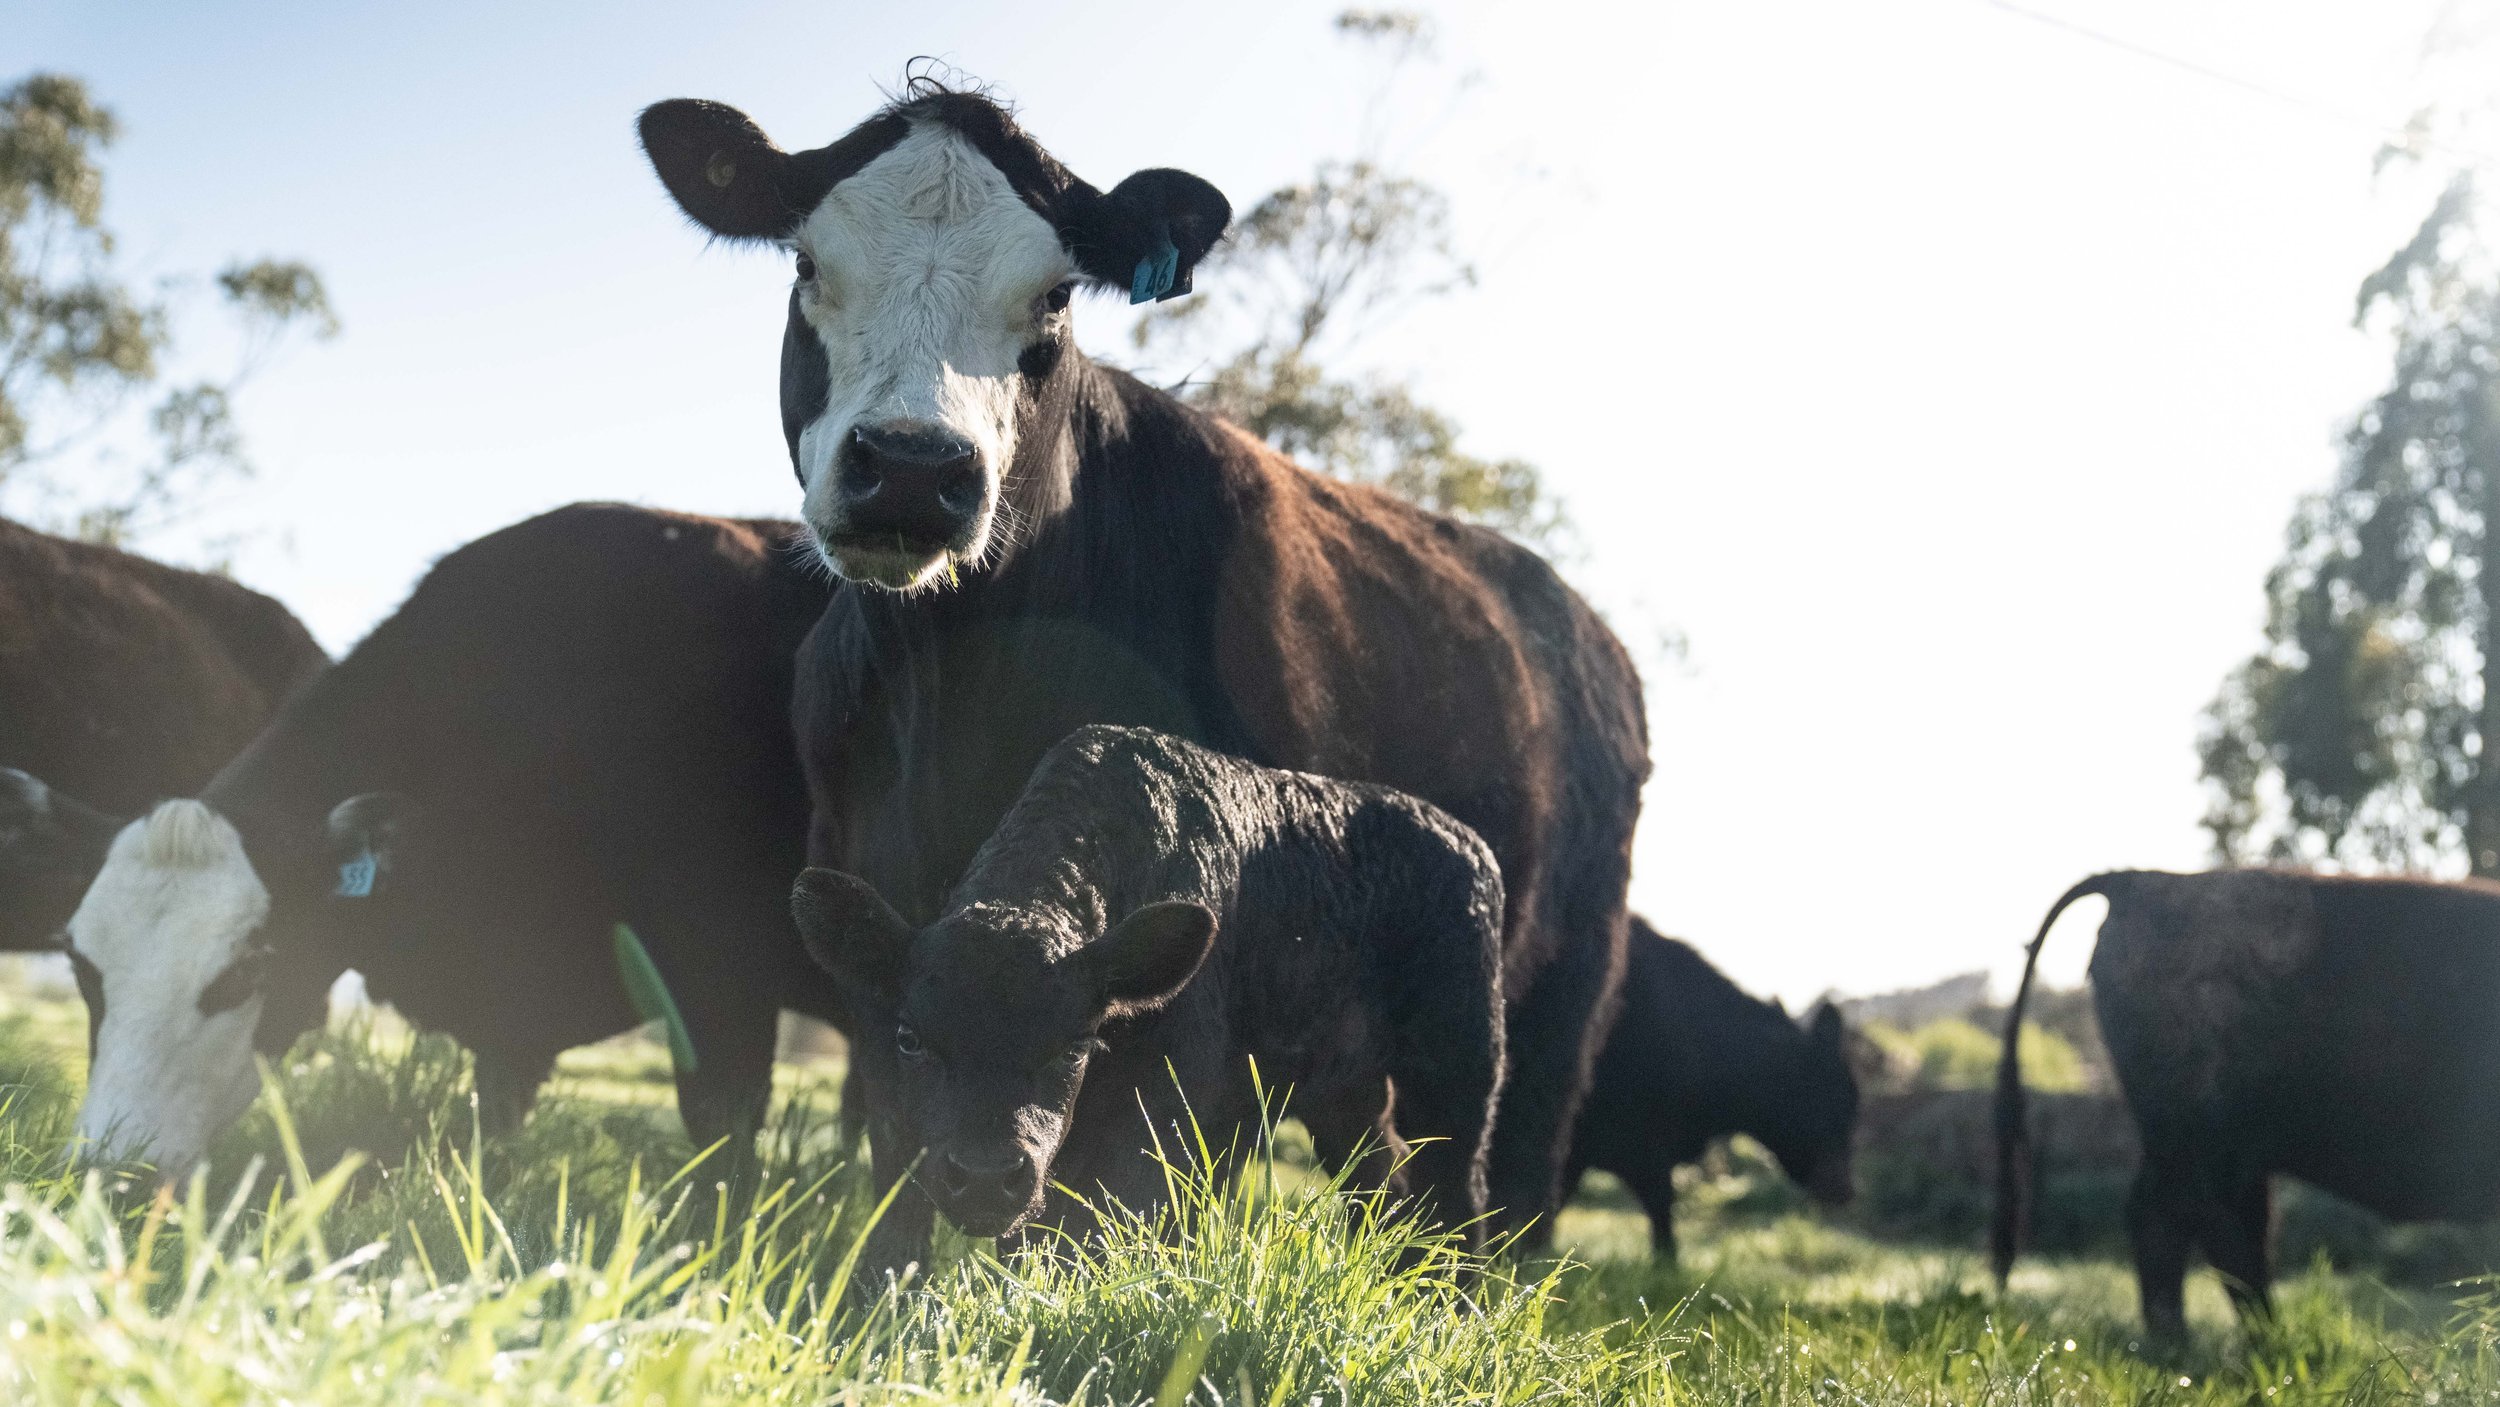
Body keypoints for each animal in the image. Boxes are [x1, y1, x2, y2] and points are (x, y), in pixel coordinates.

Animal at [791, 725, 1507, 1243]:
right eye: (909, 1038)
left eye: (1076, 1045)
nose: (987, 1174)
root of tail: (1468, 841)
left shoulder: (1168, 1103)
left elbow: (1116, 1223)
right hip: (1344, 1094)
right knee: (1386, 1186)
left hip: (1461, 1069)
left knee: (1456, 1194)